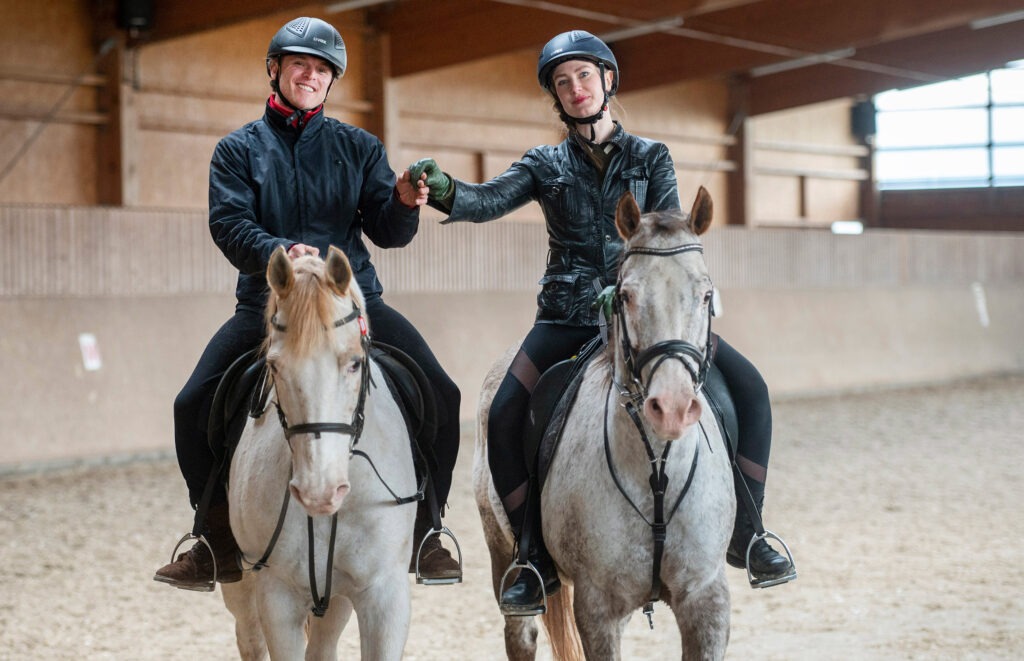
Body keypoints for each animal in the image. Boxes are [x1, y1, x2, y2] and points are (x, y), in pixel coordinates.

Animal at [222, 245, 417, 658]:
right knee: (249, 637)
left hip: (335, 595)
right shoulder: (277, 595)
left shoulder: (385, 594)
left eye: (355, 363)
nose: (319, 492)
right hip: (242, 586)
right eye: (274, 367)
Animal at [475, 188, 733, 661]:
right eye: (626, 295)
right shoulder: (597, 608)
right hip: (502, 551)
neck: (655, 472)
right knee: (520, 633)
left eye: (706, 295)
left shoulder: (706, 598)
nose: (671, 407)